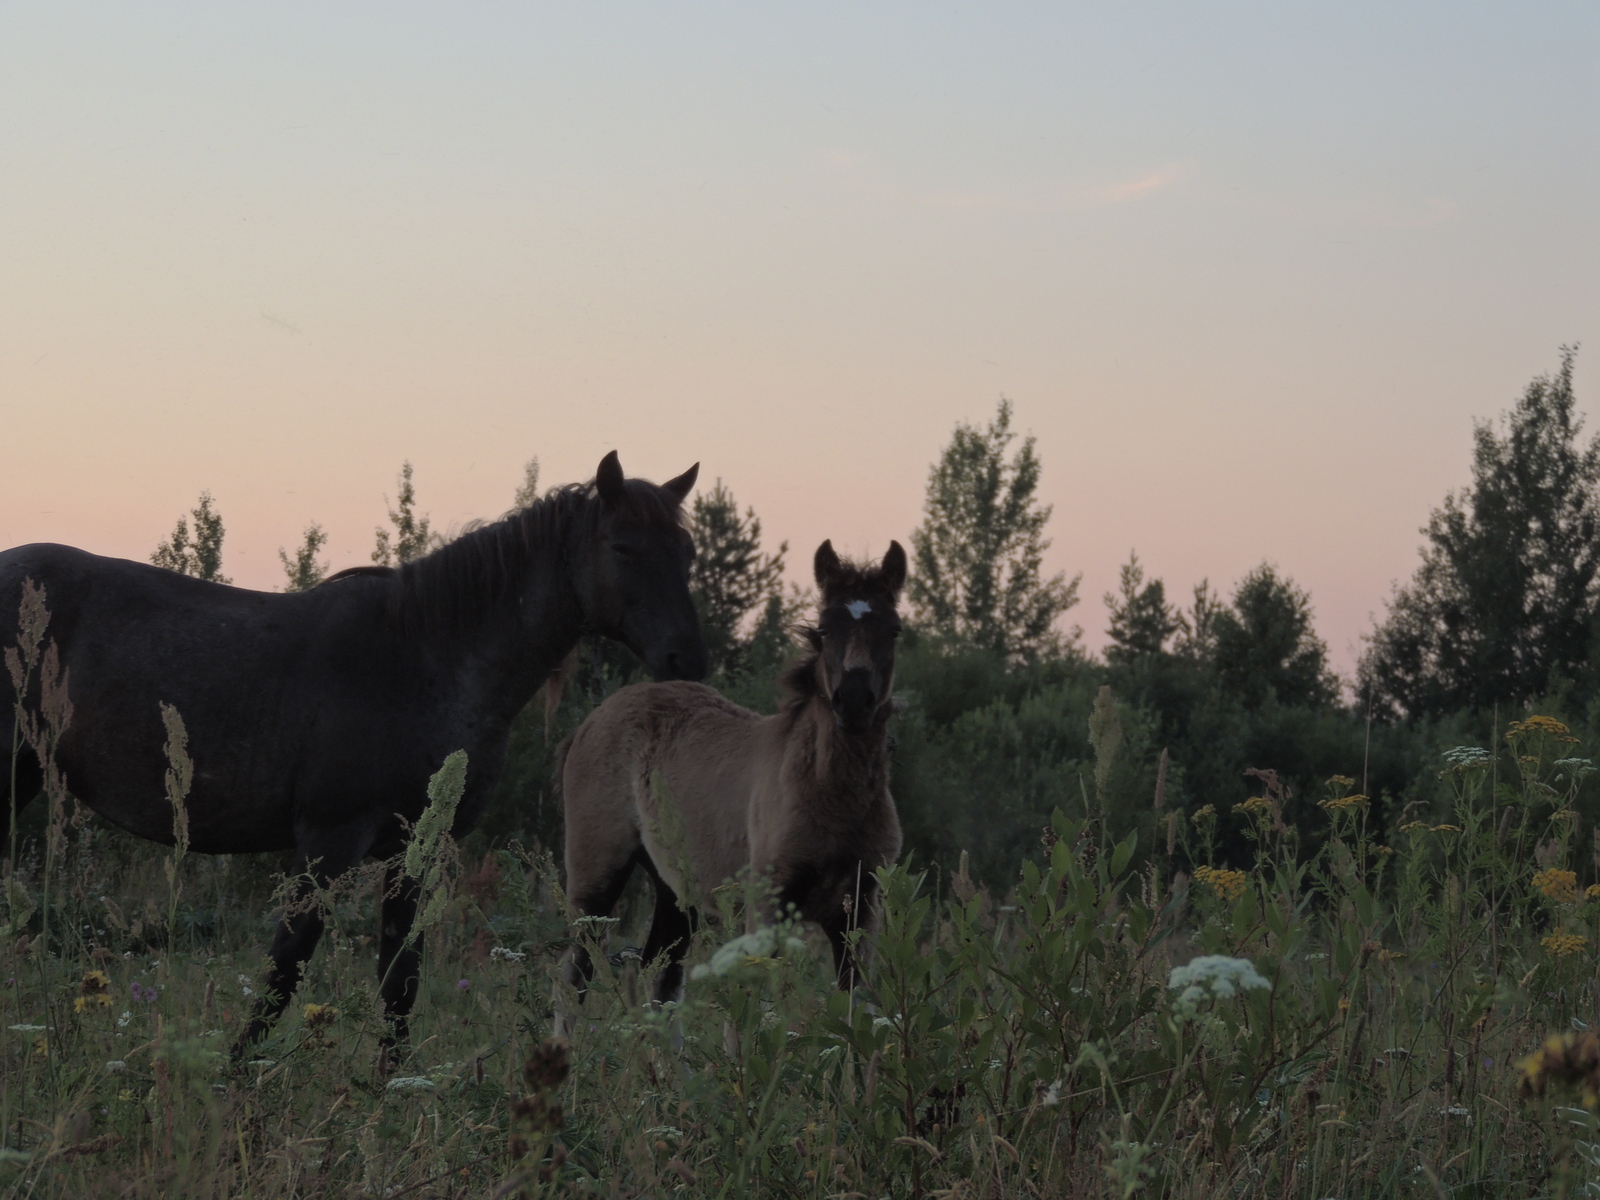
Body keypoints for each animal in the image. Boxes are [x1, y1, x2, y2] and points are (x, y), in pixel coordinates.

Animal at [0, 454, 707, 1056]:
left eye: (687, 552)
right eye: (622, 546)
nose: (688, 659)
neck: (421, 658)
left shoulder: (412, 851)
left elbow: (399, 982)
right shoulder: (328, 841)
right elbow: (285, 970)